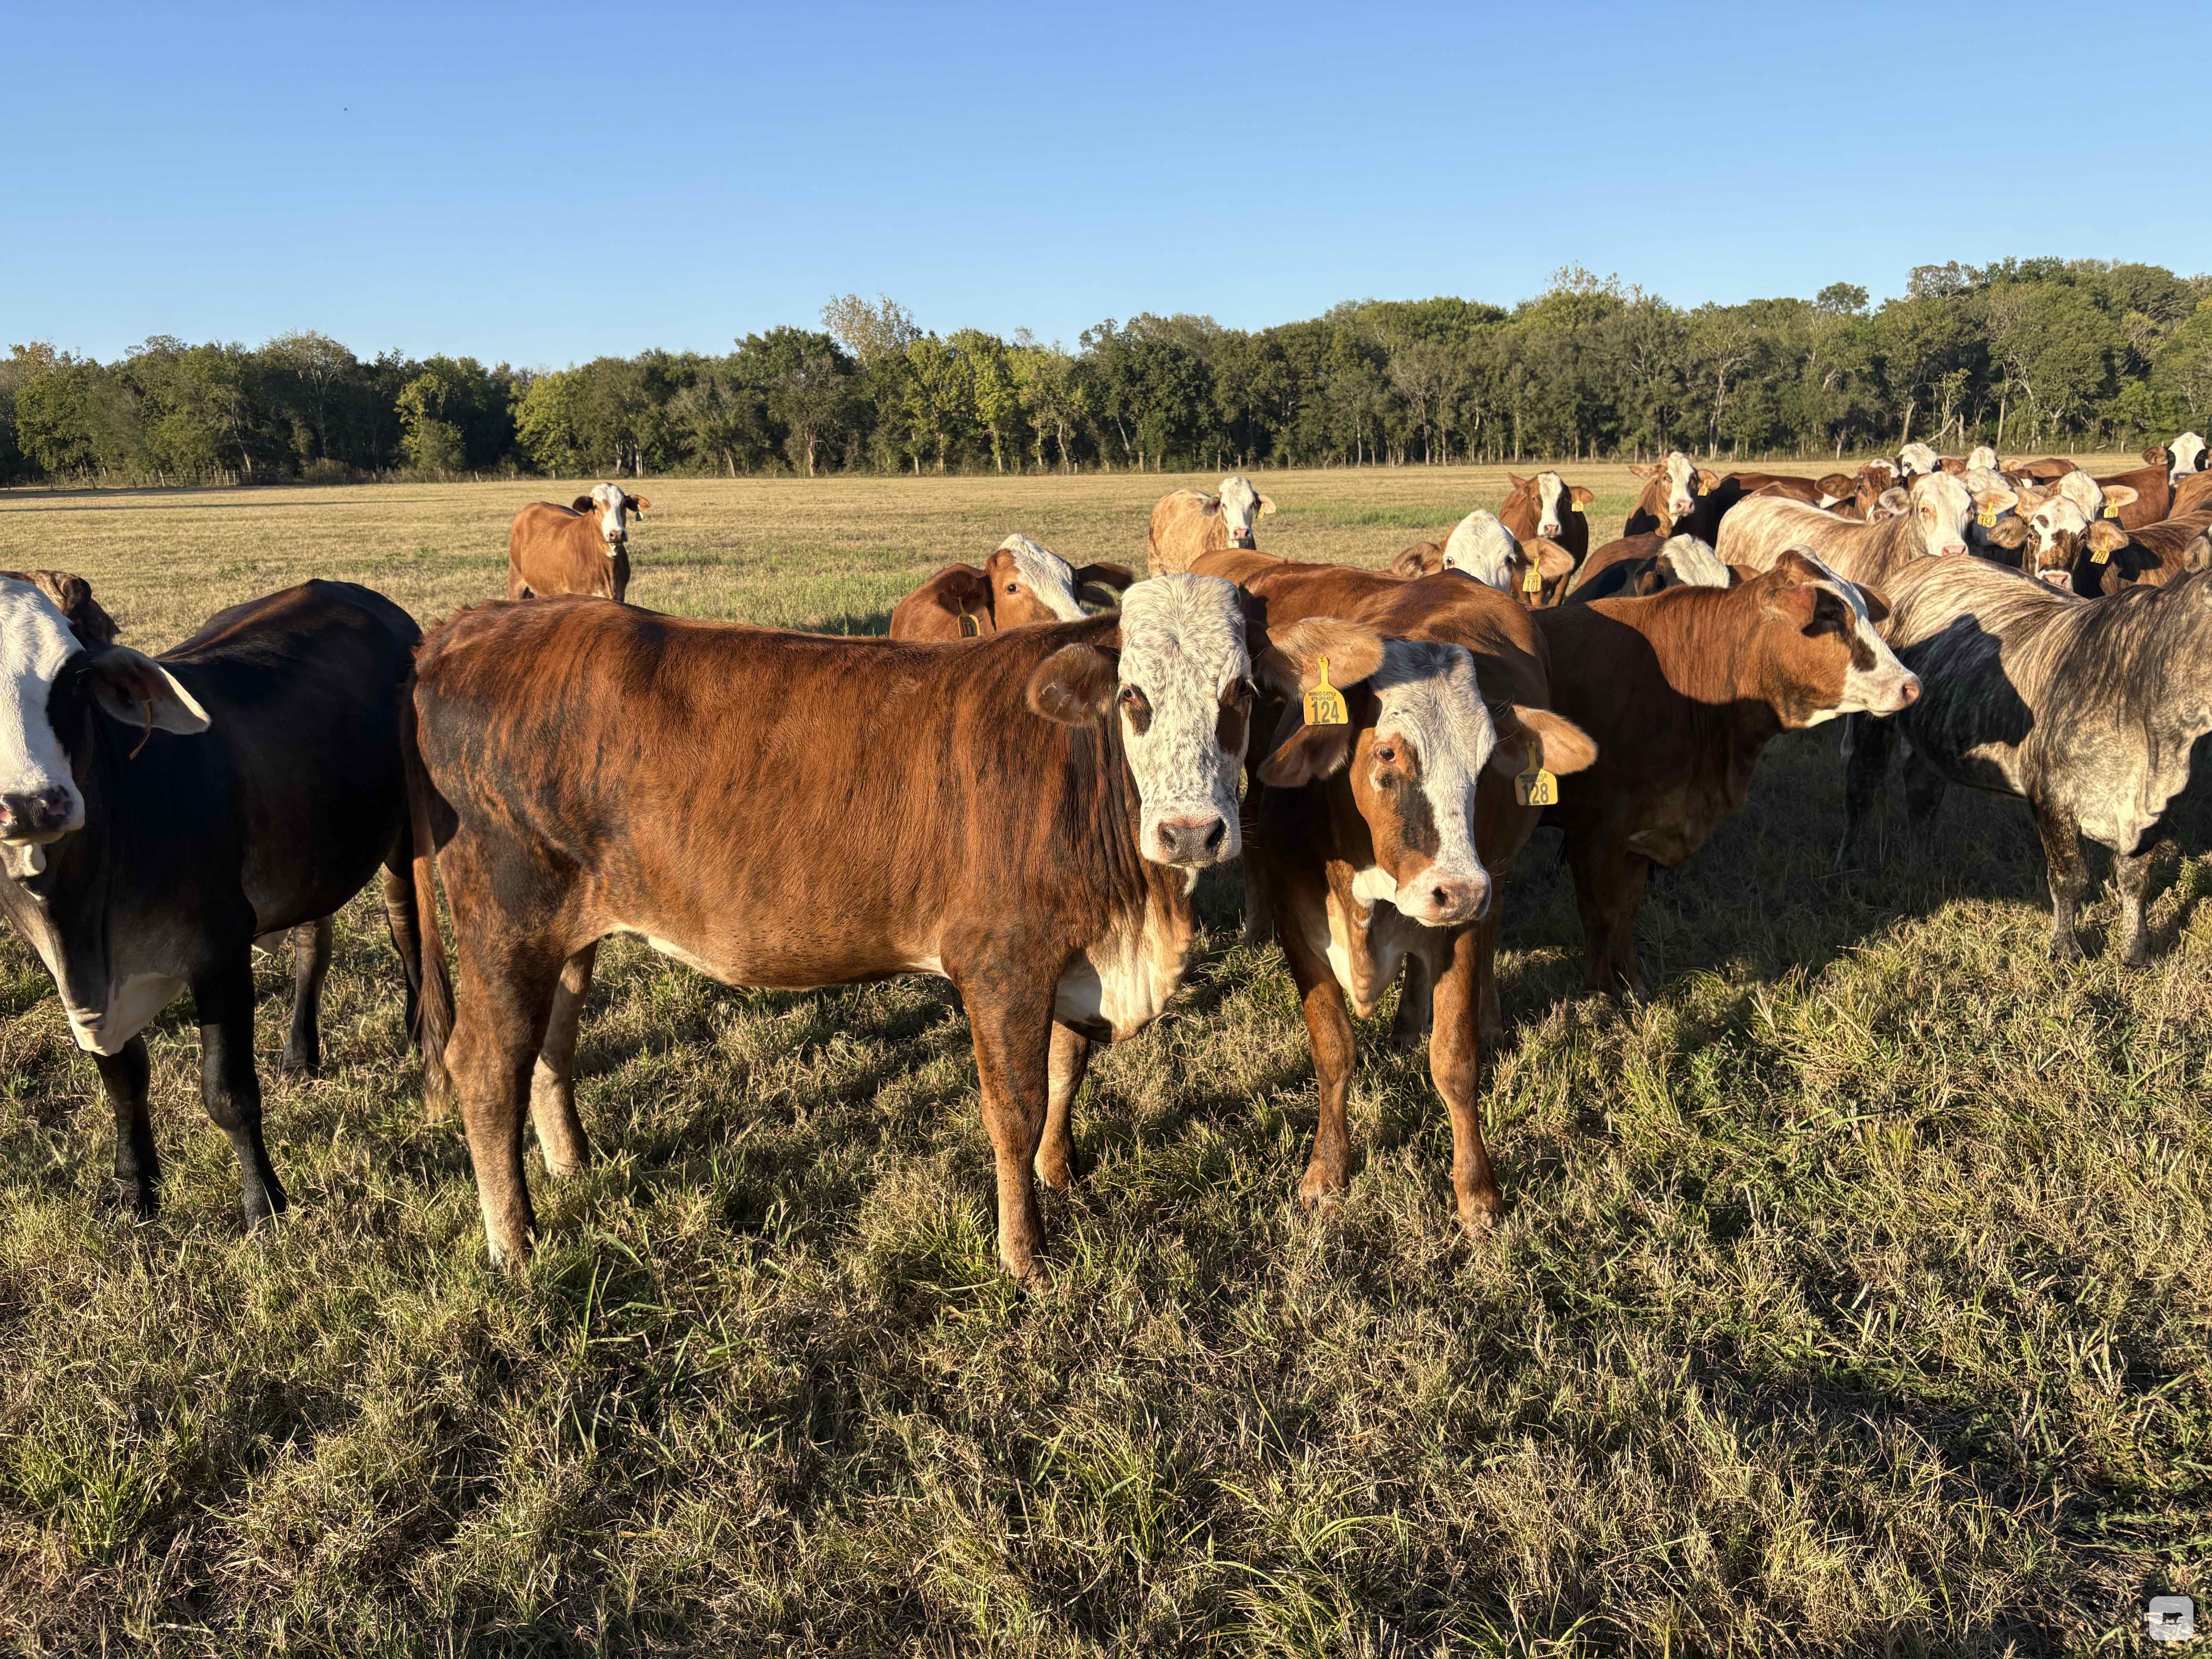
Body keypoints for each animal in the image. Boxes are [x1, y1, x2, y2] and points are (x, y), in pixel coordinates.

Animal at [0, 579, 444, 1225]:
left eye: (77, 679)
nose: (35, 805)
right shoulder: (78, 986)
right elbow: (123, 1082)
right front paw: (134, 1189)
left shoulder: (219, 952)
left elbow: (227, 1093)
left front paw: (264, 1205)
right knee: (313, 947)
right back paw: (300, 1054)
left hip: (405, 835)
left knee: (406, 928)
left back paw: (416, 1030)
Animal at [410, 575, 1316, 1279]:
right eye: (1135, 697)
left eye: (1240, 694)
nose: (1191, 832)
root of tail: (471, 626)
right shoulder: (1001, 960)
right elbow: (1015, 1107)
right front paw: (1023, 1254)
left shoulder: (1072, 955)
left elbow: (1065, 1073)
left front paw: (1061, 1175)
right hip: (505, 923)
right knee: (487, 1065)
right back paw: (515, 1243)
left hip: (568, 933)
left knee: (549, 1049)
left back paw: (574, 1168)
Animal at [1238, 578, 1595, 1231]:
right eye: (1387, 753)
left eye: (1486, 763)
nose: (1459, 890)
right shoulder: (1295, 926)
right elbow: (1333, 1051)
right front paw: (1326, 1171)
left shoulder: (1463, 926)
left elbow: (1454, 1060)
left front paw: (1477, 1191)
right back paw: (1405, 1028)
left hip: (1495, 877)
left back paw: (1485, 1018)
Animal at [1528, 551, 1920, 993]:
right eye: (1829, 615)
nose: (1911, 686)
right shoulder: (1596, 830)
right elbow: (1602, 916)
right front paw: (1604, 994)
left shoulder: (1637, 834)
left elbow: (1626, 914)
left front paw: (1634, 988)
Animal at [1839, 555, 2212, 966]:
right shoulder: (2051, 796)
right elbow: (2070, 878)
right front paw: (2065, 950)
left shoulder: (2154, 811)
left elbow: (2135, 880)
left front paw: (2136, 951)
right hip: (1874, 721)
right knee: (1862, 789)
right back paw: (1848, 864)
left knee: (1923, 792)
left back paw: (1921, 863)